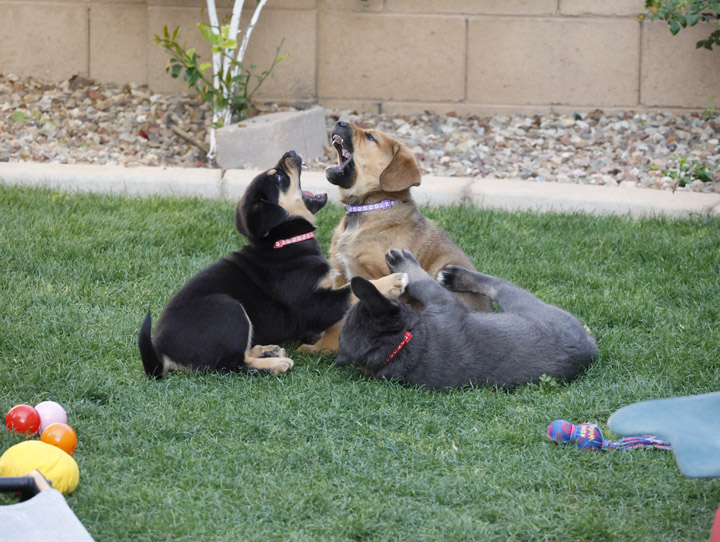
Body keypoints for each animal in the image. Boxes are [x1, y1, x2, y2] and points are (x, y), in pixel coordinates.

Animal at [139, 151, 408, 380]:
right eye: (278, 177)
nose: (291, 152)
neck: (282, 243)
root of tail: (162, 353)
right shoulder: (314, 304)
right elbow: (351, 290)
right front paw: (392, 281)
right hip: (228, 307)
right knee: (230, 365)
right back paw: (275, 364)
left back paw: (265, 350)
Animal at [300, 121, 496, 354]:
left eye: (370, 137)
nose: (340, 122)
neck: (367, 210)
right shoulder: (340, 272)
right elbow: (335, 318)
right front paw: (323, 348)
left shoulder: (381, 274)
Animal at [338, 249, 596, 394]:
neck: (403, 343)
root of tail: (589, 347)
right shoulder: (442, 300)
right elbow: (424, 283)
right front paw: (403, 262)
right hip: (522, 301)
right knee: (496, 284)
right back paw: (453, 275)